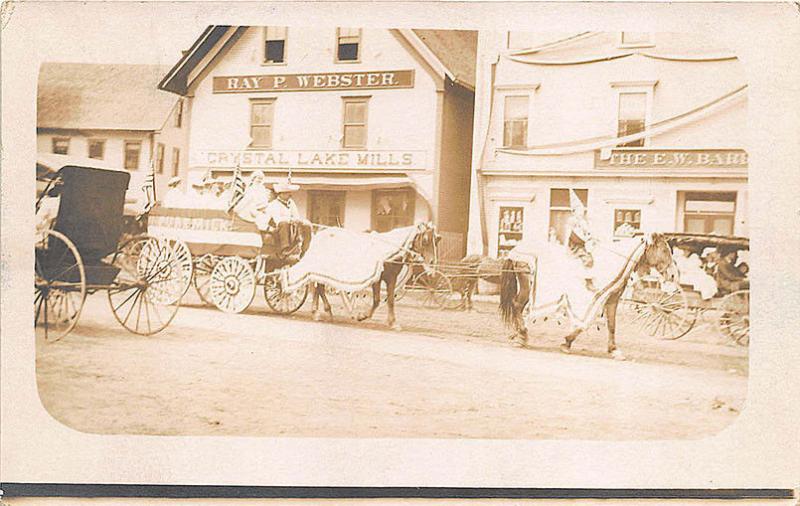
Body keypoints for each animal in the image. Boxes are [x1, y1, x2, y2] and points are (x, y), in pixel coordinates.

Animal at [310, 223, 440, 330]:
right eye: (425, 240)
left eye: (436, 240)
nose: (433, 261)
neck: (389, 251)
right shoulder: (377, 279)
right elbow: (377, 300)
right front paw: (362, 316)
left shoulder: (391, 278)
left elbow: (390, 300)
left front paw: (393, 322)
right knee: (319, 287)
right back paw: (324, 311)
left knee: (317, 286)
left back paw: (317, 312)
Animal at [500, 233, 676, 360]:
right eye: (664, 250)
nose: (673, 274)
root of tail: (516, 250)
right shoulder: (594, 300)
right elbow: (584, 324)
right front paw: (567, 342)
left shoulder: (612, 300)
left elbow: (612, 325)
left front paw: (614, 350)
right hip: (526, 287)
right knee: (517, 305)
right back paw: (522, 336)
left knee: (519, 307)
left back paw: (518, 334)